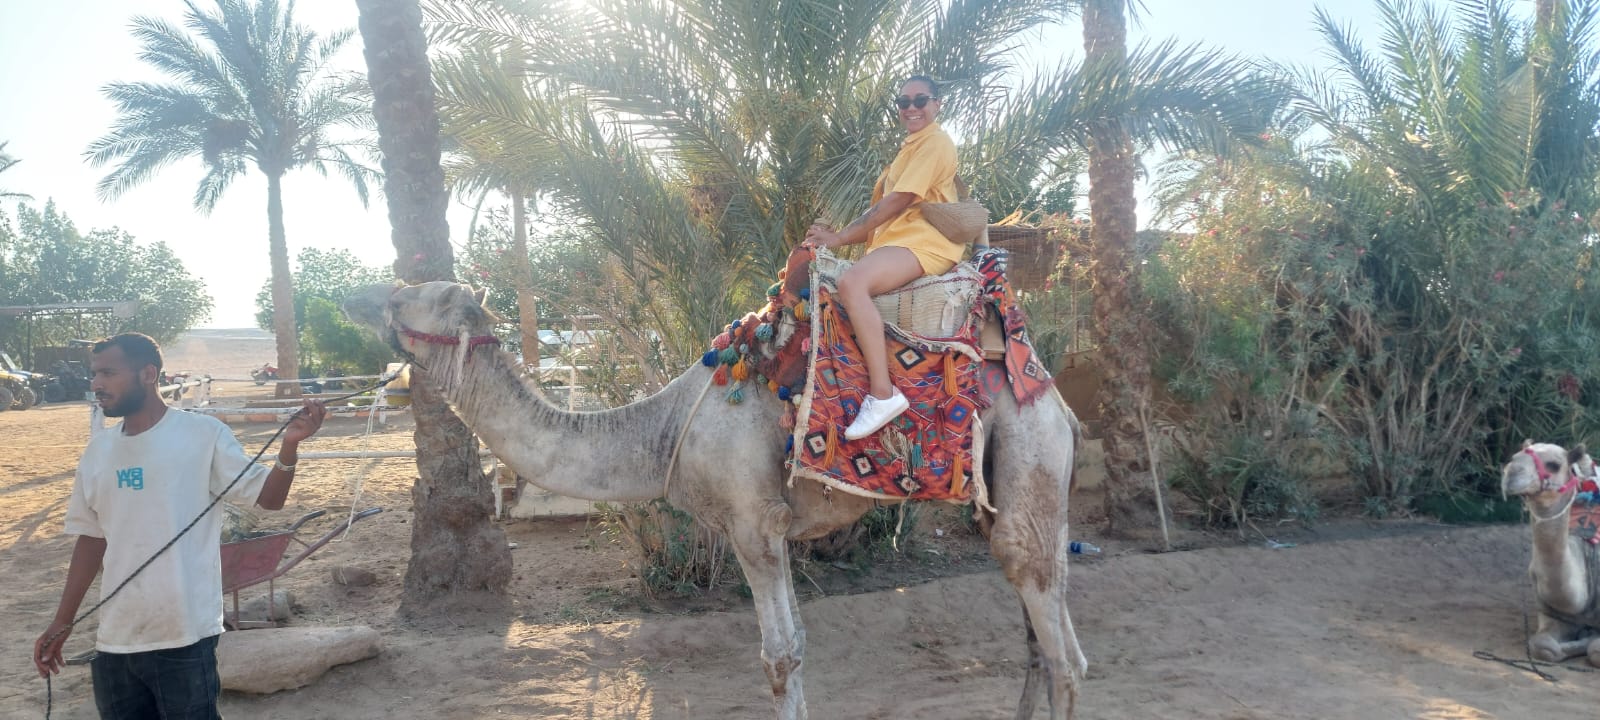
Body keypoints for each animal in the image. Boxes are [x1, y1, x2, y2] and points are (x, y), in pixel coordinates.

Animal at [346, 280, 1086, 719]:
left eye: (414, 295)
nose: (362, 293)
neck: (662, 431)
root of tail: (1056, 398)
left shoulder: (751, 525)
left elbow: (778, 655)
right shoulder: (772, 527)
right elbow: (799, 644)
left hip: (1031, 452)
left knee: (1062, 649)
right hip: (1014, 492)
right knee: (1038, 629)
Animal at [1500, 441, 1600, 666]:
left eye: (1554, 465)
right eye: (1514, 457)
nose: (1511, 473)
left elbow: (1596, 650)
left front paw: (1587, 638)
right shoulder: (1551, 614)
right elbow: (1543, 646)